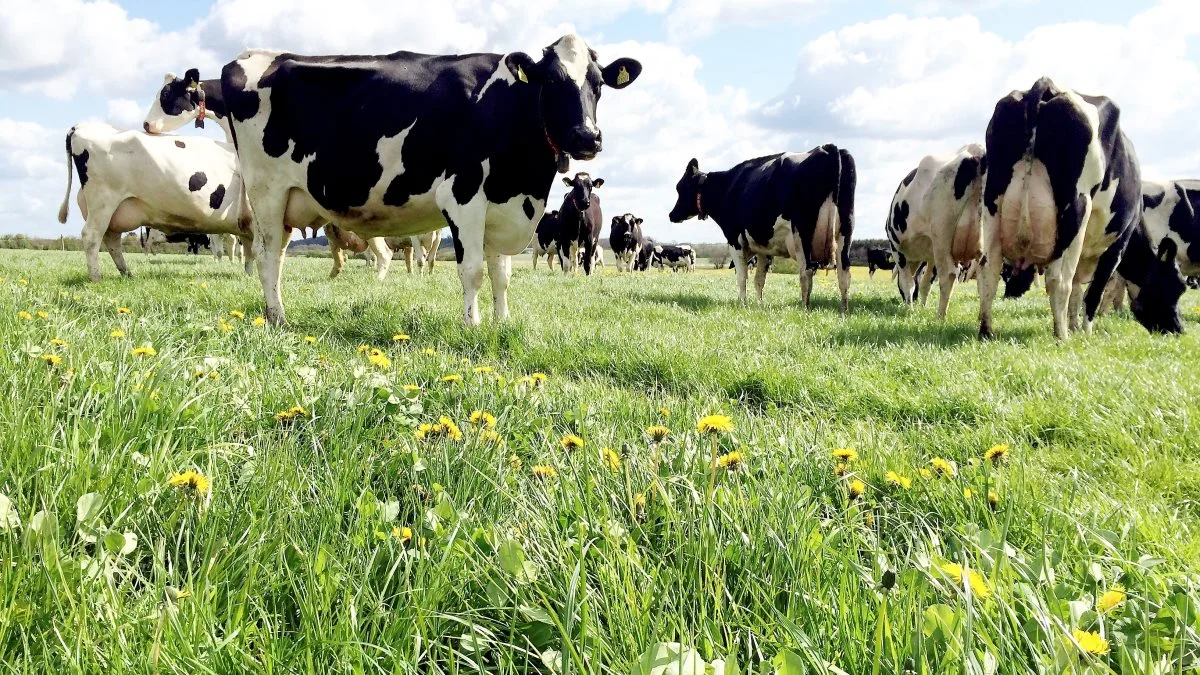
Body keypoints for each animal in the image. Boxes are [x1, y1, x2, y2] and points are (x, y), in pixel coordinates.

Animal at [57, 120, 256, 278]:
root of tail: (81, 126)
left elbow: (248, 251)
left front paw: (248, 274)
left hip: (114, 210)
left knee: (112, 240)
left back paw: (126, 273)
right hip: (103, 201)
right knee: (91, 236)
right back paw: (96, 277)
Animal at [176, 35, 638, 324]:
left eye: (598, 84)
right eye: (553, 82)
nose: (588, 137)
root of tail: (248, 58)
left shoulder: (501, 208)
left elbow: (502, 273)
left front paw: (502, 323)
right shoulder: (463, 197)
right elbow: (472, 270)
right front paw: (472, 326)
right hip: (268, 191)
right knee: (270, 258)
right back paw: (277, 318)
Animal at [667, 144, 854, 309]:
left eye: (680, 188)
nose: (671, 214)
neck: (727, 187)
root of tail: (828, 147)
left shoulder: (734, 239)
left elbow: (742, 277)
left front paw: (743, 304)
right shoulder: (765, 246)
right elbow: (759, 280)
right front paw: (759, 305)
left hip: (802, 234)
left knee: (806, 272)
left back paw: (804, 309)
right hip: (845, 234)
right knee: (844, 274)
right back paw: (844, 311)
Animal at [883, 142, 984, 317]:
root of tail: (973, 151)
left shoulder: (896, 246)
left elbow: (908, 282)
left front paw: (910, 309)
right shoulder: (930, 256)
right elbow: (925, 283)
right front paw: (922, 307)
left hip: (942, 236)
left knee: (949, 274)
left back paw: (940, 316)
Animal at [979, 77, 1185, 336]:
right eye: (1177, 287)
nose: (1179, 329)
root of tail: (1046, 85)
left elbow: (1077, 289)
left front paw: (1074, 325)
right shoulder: (1116, 245)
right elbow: (1093, 292)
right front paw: (1085, 332)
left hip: (992, 202)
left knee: (989, 269)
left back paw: (986, 331)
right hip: (1076, 206)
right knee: (1058, 278)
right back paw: (1061, 336)